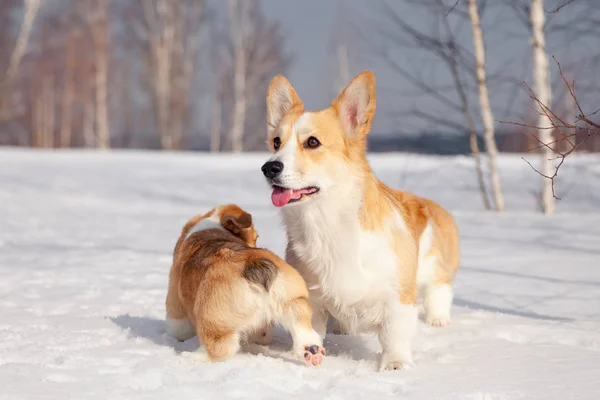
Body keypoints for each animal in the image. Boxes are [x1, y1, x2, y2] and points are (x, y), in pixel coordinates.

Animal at [165, 205, 328, 368]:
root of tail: (255, 265)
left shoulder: (176, 308)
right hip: (294, 302)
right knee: (305, 332)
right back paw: (312, 353)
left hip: (215, 319)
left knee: (220, 348)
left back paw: (193, 356)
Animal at [260, 72, 462, 372]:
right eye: (276, 142)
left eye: (312, 142)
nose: (269, 168)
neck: (326, 222)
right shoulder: (313, 298)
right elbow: (309, 328)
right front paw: (305, 353)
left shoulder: (397, 296)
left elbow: (394, 335)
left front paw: (395, 365)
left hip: (434, 265)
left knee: (439, 289)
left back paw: (438, 319)